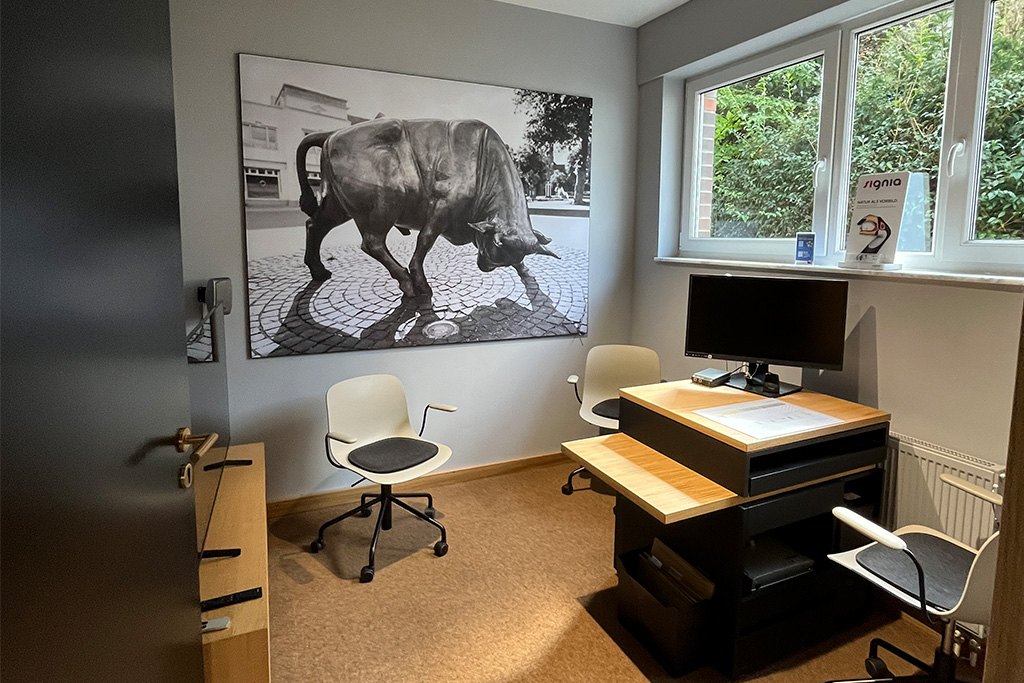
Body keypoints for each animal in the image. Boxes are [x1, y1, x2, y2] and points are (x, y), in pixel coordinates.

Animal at [296, 118, 558, 300]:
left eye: (500, 260)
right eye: (492, 250)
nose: (484, 267)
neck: (483, 162)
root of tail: (332, 135)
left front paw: (525, 269)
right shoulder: (443, 206)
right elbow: (425, 241)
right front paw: (420, 280)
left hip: (337, 206)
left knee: (314, 225)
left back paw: (318, 270)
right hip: (386, 202)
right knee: (372, 242)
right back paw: (409, 283)